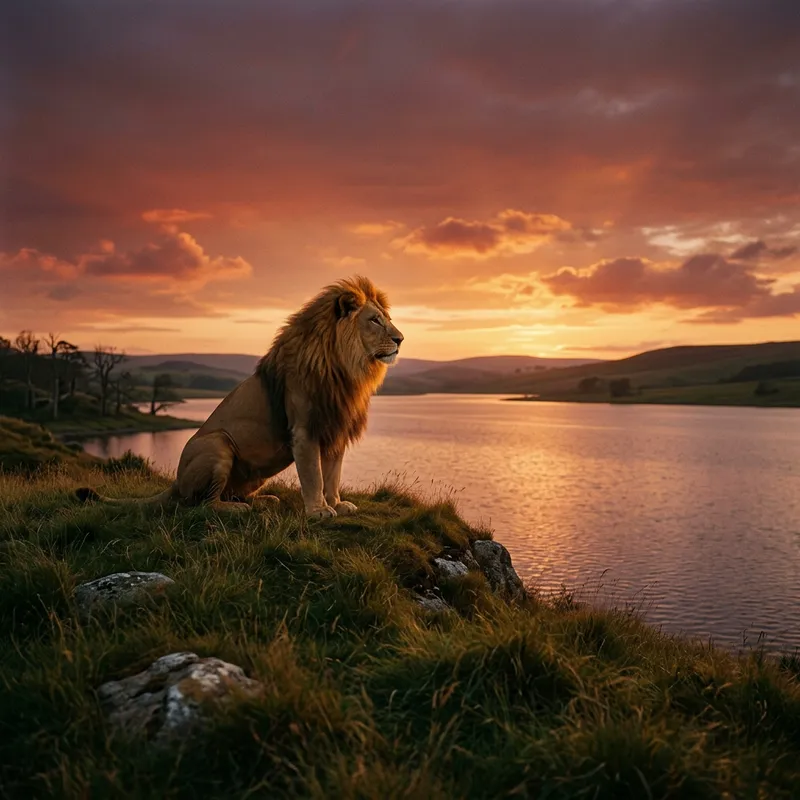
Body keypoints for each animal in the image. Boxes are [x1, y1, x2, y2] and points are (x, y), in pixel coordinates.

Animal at [76, 276, 404, 519]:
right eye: (375, 320)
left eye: (387, 319)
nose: (400, 339)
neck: (346, 369)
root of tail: (176, 483)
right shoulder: (305, 430)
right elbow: (314, 475)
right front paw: (318, 511)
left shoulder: (336, 427)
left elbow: (333, 474)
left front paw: (336, 504)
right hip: (217, 444)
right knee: (202, 506)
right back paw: (239, 509)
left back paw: (266, 500)